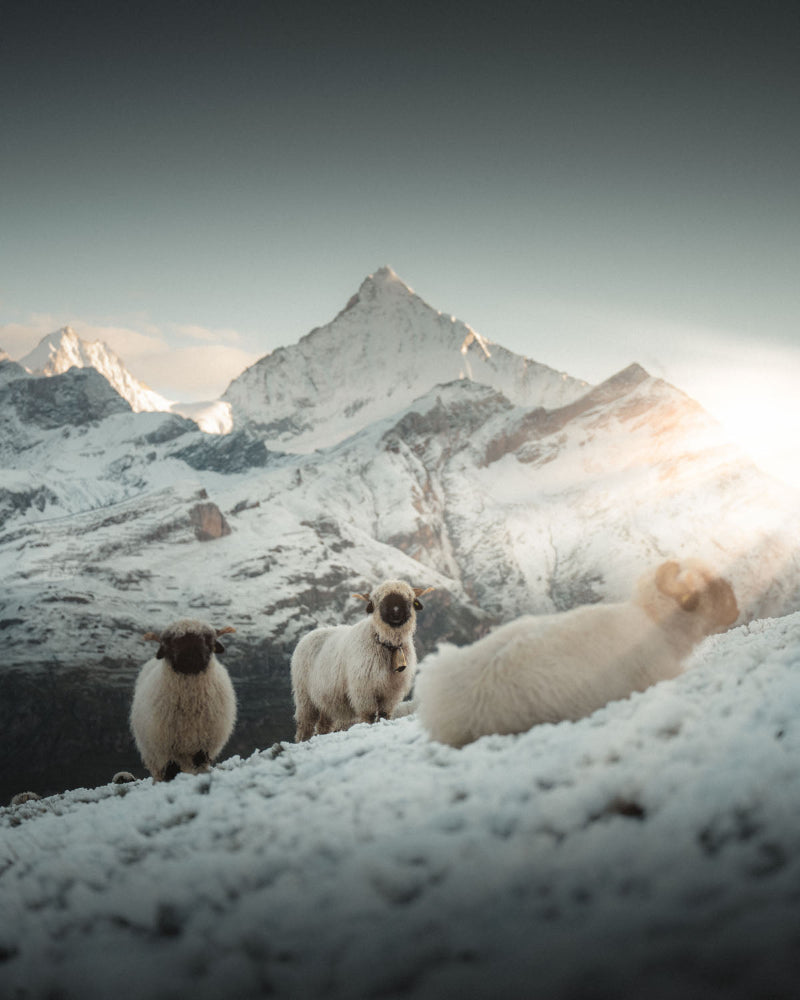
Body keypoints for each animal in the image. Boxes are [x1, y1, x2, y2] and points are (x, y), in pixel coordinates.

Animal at [129, 616, 238, 780]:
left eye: (208, 640)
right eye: (171, 643)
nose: (191, 654)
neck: (190, 704)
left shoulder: (203, 745)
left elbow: (199, 765)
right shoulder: (166, 749)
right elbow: (171, 770)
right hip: (152, 753)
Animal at [290, 580, 434, 744]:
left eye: (409, 597)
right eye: (378, 600)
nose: (396, 611)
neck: (387, 645)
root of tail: (307, 636)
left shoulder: (391, 692)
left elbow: (384, 714)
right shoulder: (364, 690)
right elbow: (369, 716)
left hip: (326, 699)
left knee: (323, 725)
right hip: (304, 697)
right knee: (305, 726)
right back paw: (302, 740)